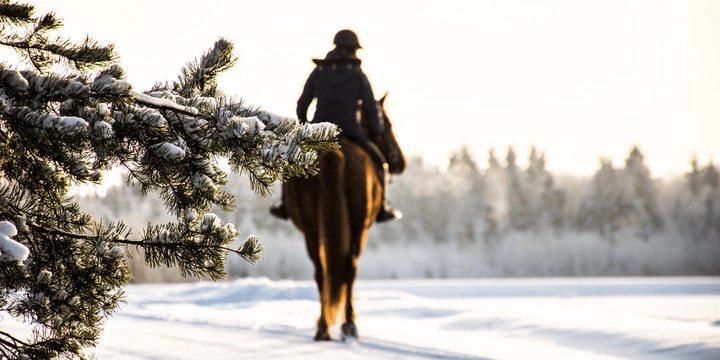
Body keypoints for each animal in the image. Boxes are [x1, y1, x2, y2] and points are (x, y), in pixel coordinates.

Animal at [284, 92, 402, 340]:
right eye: (386, 123)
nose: (400, 162)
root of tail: (333, 152)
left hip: (311, 229)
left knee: (322, 271)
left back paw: (323, 328)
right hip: (359, 227)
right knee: (349, 268)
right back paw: (348, 324)